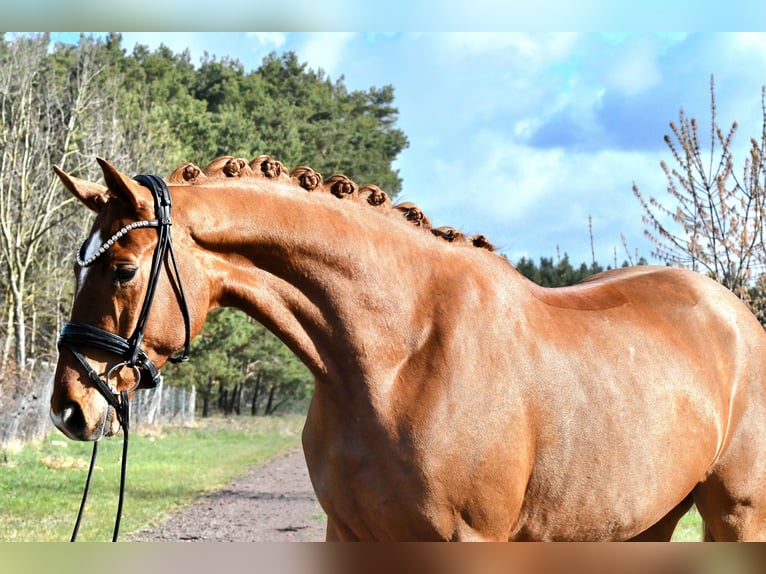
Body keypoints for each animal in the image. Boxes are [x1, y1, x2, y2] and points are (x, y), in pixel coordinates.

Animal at [49, 155, 766, 541]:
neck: (398, 360)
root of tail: (737, 314)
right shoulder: (350, 533)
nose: (69, 406)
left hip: (737, 515)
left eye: (122, 270)